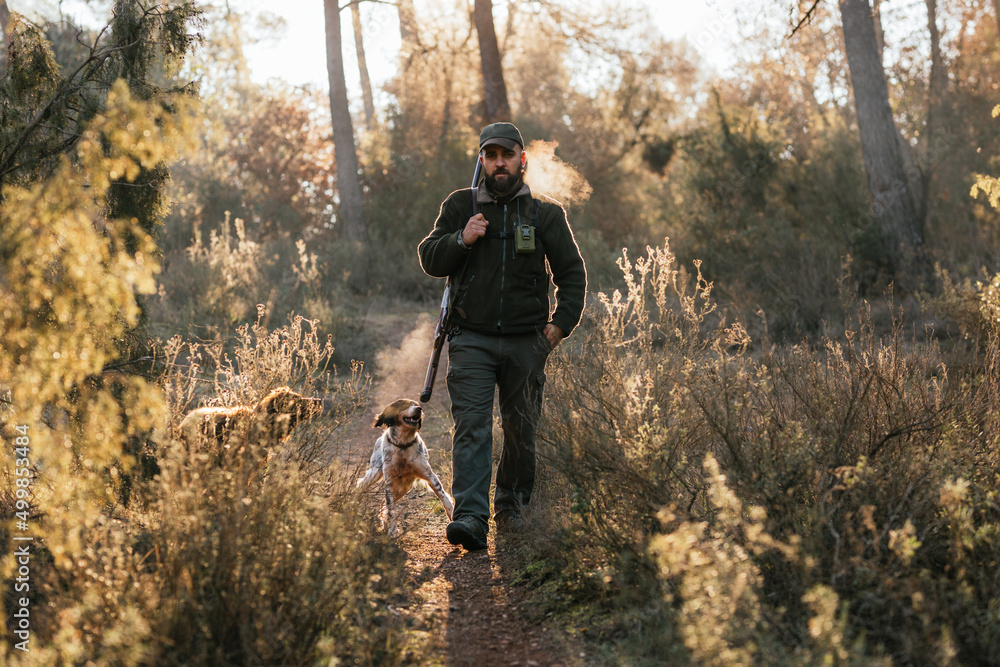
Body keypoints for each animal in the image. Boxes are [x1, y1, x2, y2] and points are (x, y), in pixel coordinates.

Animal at [358, 402, 456, 536]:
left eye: (417, 404)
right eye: (403, 405)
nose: (419, 409)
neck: (402, 445)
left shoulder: (429, 476)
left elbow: (443, 496)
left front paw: (452, 513)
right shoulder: (390, 484)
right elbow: (391, 510)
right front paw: (393, 532)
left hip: (404, 487)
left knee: (383, 504)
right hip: (375, 473)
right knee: (361, 485)